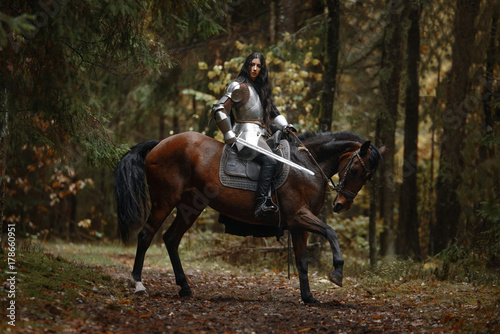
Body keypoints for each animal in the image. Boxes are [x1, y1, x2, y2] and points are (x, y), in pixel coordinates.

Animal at [115, 131, 384, 306]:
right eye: (357, 170)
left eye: (368, 177)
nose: (341, 205)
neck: (306, 166)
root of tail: (160, 143)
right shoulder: (299, 215)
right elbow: (331, 232)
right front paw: (337, 272)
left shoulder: (299, 225)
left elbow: (302, 261)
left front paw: (308, 297)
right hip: (165, 201)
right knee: (145, 235)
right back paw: (138, 284)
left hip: (190, 206)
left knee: (171, 239)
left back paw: (185, 287)